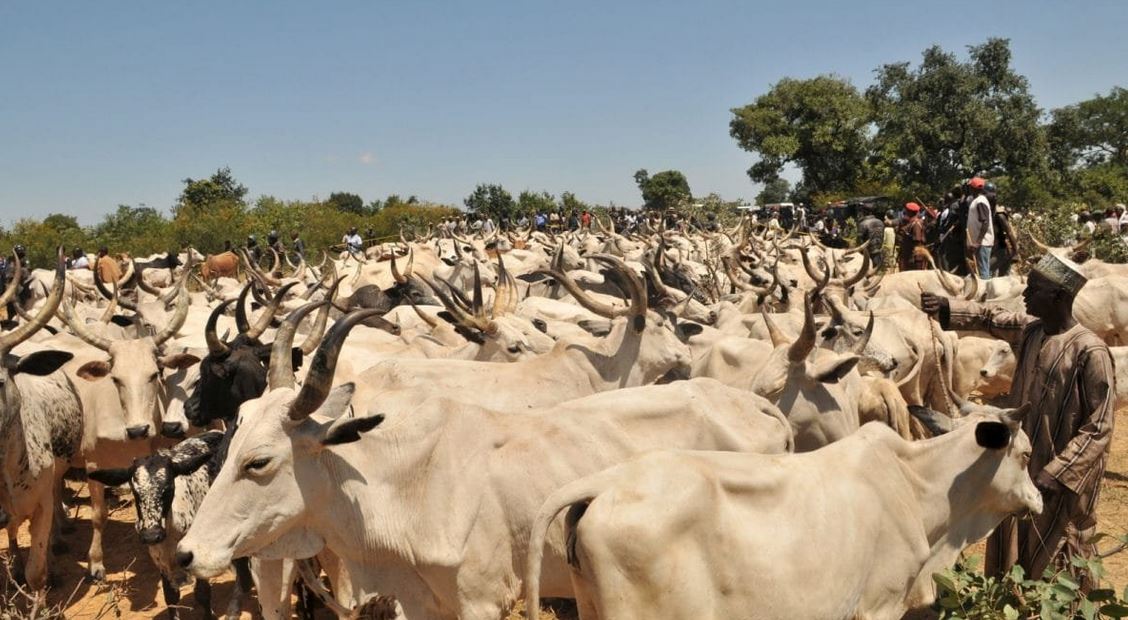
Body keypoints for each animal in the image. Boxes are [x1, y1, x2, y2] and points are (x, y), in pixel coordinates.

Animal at [174, 308, 793, 619]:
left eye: (259, 462)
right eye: (235, 434)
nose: (187, 555)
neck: (404, 483)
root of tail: (757, 403)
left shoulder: (482, 601)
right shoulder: (422, 603)